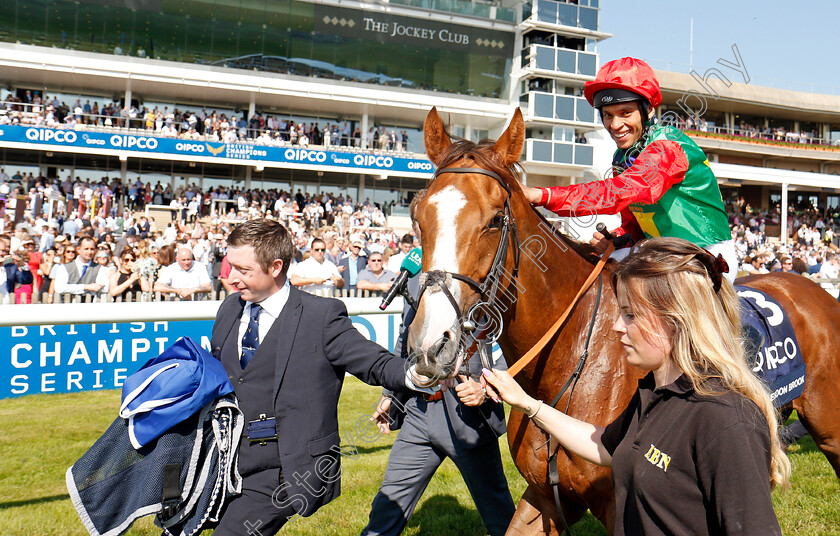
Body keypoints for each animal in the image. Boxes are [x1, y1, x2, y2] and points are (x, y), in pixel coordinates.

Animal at [410, 107, 840, 532]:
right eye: (418, 216)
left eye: (495, 219)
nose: (431, 346)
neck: (572, 354)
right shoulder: (544, 497)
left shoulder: (619, 502)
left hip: (830, 426)